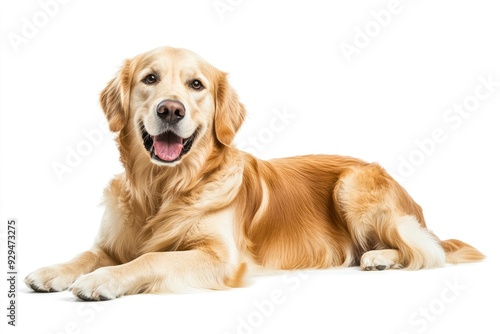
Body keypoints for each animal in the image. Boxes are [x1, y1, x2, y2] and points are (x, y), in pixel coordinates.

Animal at [24, 46, 484, 300]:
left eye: (196, 85)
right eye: (149, 79)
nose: (170, 110)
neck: (164, 189)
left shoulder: (221, 258)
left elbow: (151, 257)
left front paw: (103, 280)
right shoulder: (115, 240)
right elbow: (87, 254)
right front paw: (51, 271)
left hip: (353, 186)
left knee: (427, 249)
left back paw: (379, 257)